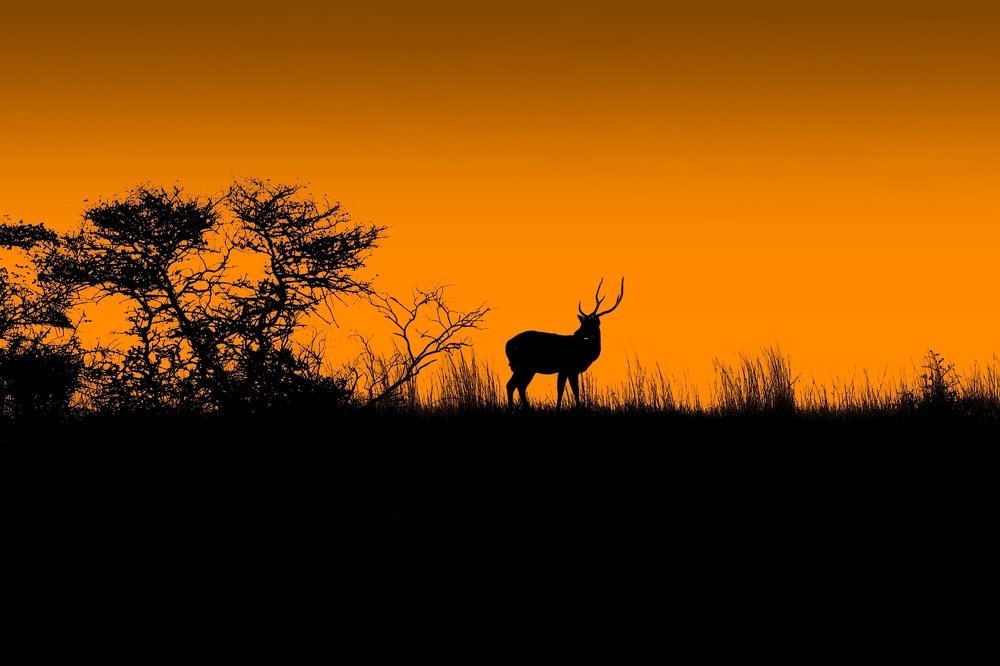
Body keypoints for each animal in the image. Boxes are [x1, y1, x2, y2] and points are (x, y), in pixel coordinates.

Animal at [505, 277, 624, 411]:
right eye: (582, 323)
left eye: (589, 324)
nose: (576, 333)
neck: (586, 354)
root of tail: (507, 345)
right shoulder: (569, 367)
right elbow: (573, 391)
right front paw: (576, 409)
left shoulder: (565, 370)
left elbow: (561, 390)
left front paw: (558, 409)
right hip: (523, 365)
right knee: (512, 385)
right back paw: (513, 409)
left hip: (527, 368)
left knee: (519, 386)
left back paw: (524, 409)